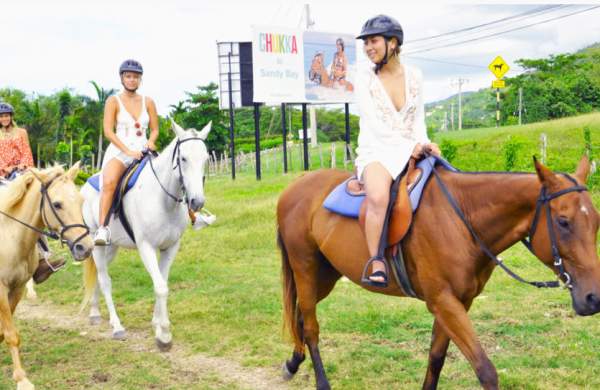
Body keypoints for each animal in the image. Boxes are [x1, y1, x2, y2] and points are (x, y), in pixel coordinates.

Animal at [79, 119, 211, 350]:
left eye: (205, 158)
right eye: (183, 158)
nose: (197, 202)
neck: (163, 200)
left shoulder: (171, 247)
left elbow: (162, 283)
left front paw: (157, 325)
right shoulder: (146, 247)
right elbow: (160, 287)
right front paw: (164, 335)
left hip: (111, 247)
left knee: (98, 274)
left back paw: (95, 312)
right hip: (97, 243)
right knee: (105, 280)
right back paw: (117, 326)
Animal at [278, 156, 600, 390]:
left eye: (596, 221)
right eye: (563, 221)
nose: (593, 298)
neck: (462, 219)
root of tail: (293, 188)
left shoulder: (458, 302)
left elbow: (436, 359)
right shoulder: (443, 301)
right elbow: (485, 369)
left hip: (325, 276)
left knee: (300, 316)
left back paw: (293, 363)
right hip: (305, 269)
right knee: (311, 326)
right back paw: (321, 382)